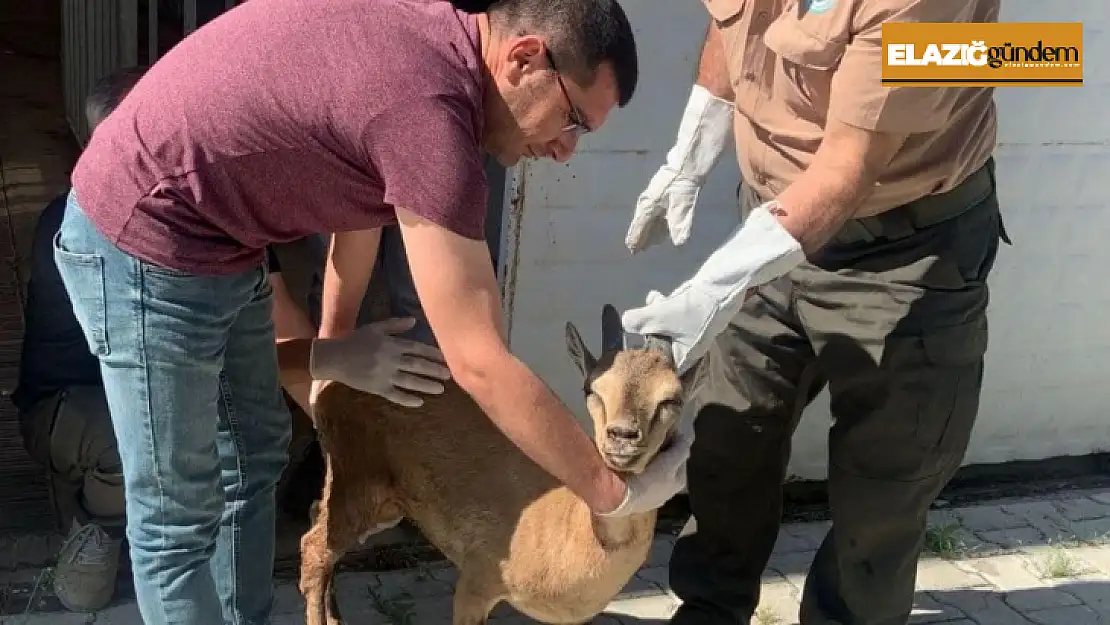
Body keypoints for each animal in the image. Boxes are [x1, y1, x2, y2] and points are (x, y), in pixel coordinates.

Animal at [301, 306, 683, 621]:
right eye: (592, 389)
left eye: (672, 398)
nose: (622, 436)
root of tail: (330, 389)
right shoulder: (478, 576)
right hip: (358, 482)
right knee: (314, 549)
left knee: (315, 516)